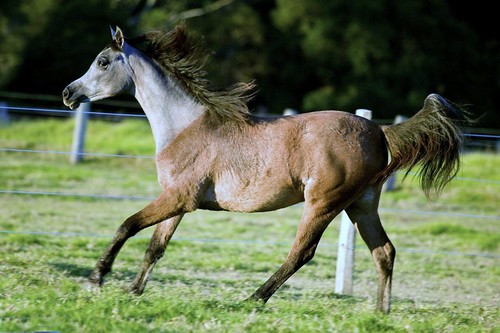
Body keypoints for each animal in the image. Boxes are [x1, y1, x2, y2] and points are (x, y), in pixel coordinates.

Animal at [61, 24, 468, 312]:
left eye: (102, 62)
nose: (68, 93)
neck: (185, 127)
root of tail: (380, 131)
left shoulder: (179, 197)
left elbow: (127, 225)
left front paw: (96, 277)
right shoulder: (178, 202)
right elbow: (155, 247)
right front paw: (133, 290)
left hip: (324, 203)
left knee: (302, 252)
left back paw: (253, 299)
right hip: (362, 205)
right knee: (384, 252)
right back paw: (380, 315)